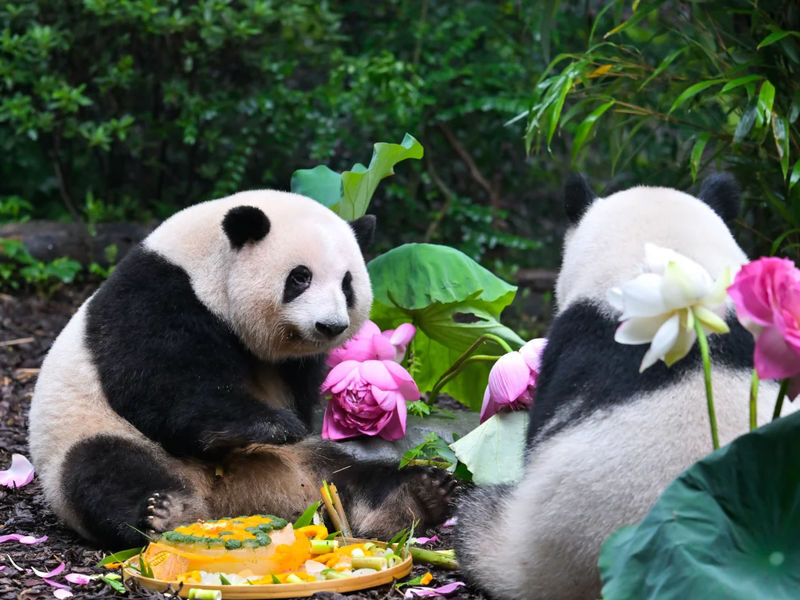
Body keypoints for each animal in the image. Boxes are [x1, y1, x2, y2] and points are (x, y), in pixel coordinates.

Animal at [28, 190, 453, 549]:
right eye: (301, 276)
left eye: (348, 283)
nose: (330, 325)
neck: (206, 266)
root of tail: (227, 501)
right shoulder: (158, 293)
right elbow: (157, 382)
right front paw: (268, 425)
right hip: (88, 436)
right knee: (103, 472)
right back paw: (162, 513)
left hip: (313, 463)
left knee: (352, 477)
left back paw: (417, 496)